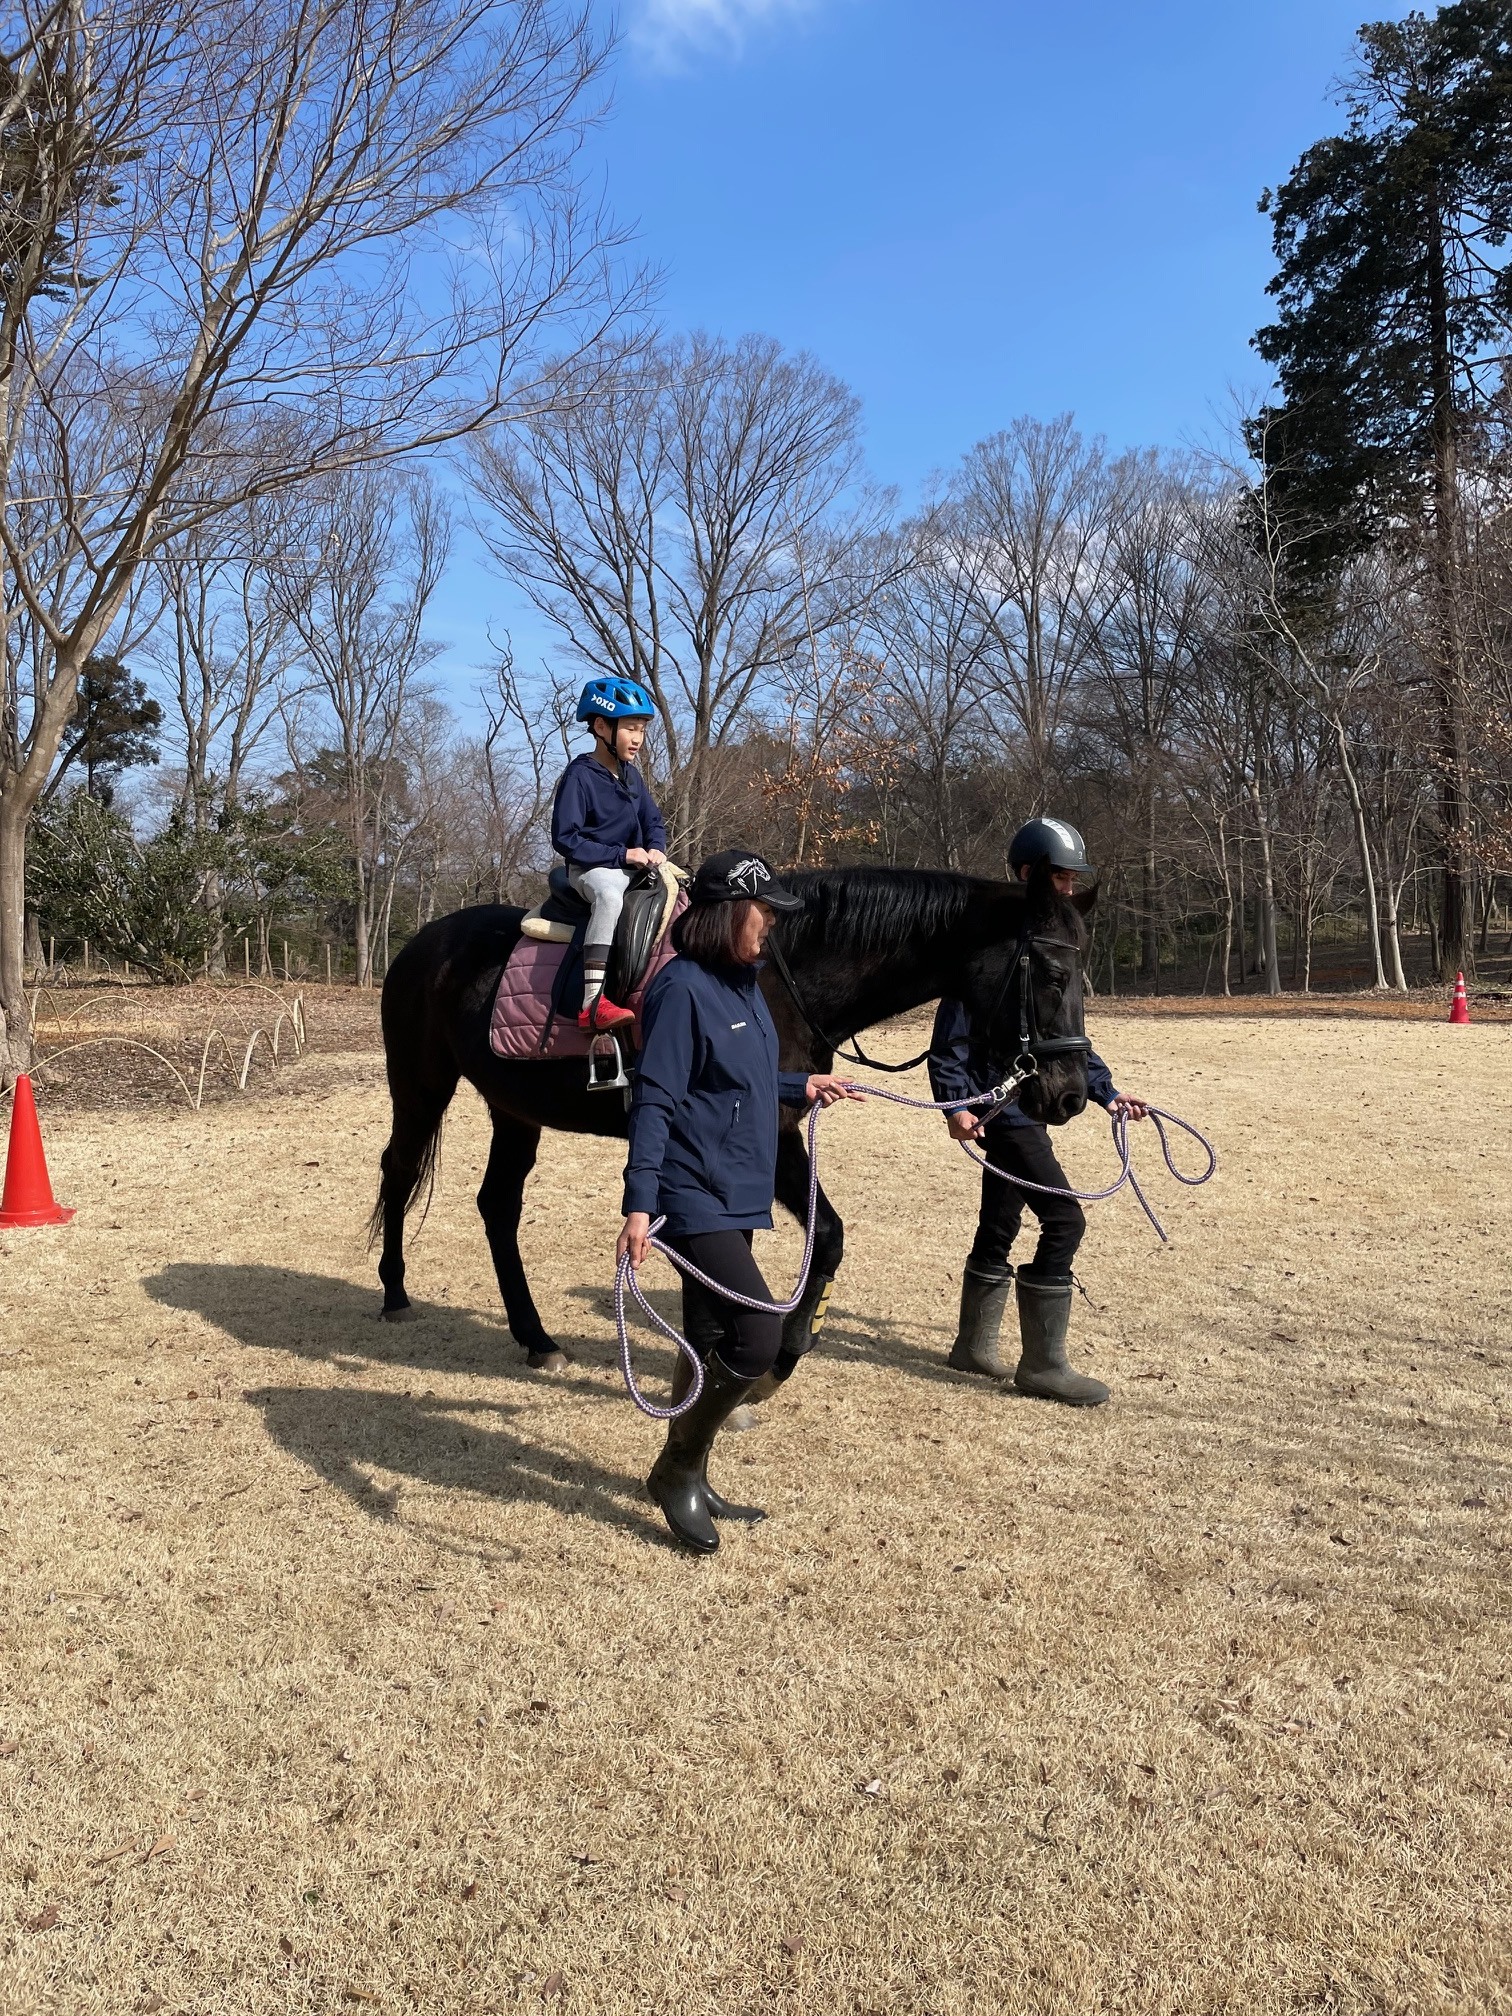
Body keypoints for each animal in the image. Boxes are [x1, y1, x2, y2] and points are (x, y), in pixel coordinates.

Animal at [370, 865, 1093, 1371]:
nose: (1071, 1096)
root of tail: (424, 943)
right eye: (1053, 975)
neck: (777, 978)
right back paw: (395, 1294)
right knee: (399, 1170)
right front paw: (754, 1354)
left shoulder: (776, 1132)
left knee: (497, 1205)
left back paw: (534, 1336)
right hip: (421, 1085)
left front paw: (774, 1346)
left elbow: (826, 1236)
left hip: (514, 1109)